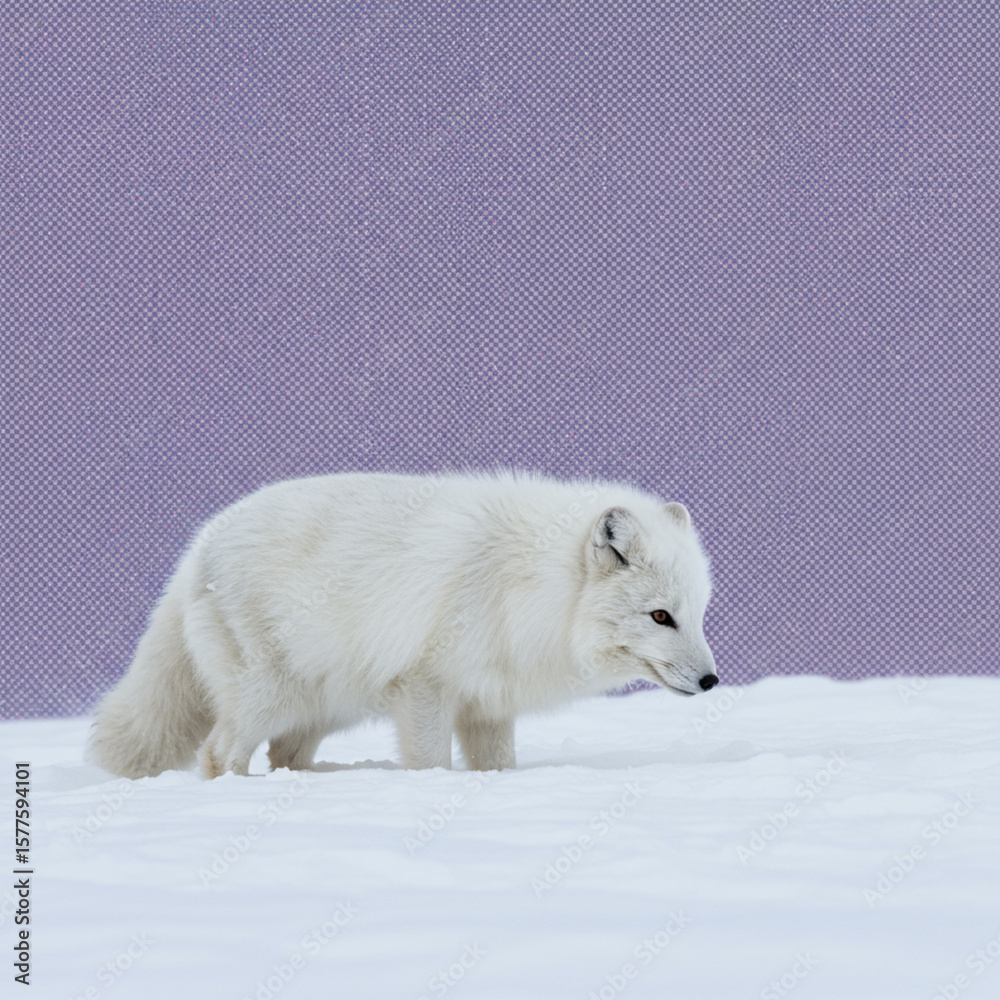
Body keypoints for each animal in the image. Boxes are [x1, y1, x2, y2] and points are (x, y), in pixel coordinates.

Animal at [88, 470, 718, 778]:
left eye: (698, 615)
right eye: (660, 616)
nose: (712, 681)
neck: (526, 582)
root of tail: (197, 548)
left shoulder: (489, 703)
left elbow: (497, 767)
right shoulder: (424, 686)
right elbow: (432, 763)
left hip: (325, 702)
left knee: (286, 753)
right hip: (269, 695)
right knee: (220, 755)